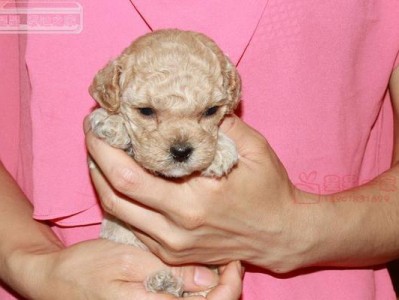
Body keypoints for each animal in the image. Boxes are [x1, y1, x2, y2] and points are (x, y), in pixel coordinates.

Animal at [89, 28, 242, 298]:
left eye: (211, 110)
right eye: (146, 111)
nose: (181, 151)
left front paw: (221, 150)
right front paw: (112, 122)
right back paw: (163, 281)